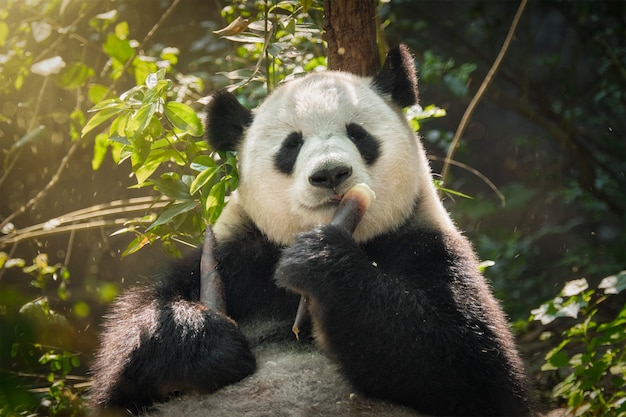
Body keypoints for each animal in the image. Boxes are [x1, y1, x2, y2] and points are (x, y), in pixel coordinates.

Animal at [91, 44, 532, 414]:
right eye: (291, 145)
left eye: (358, 133)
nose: (331, 173)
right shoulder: (236, 253)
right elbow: (129, 345)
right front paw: (208, 341)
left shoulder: (425, 244)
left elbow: (473, 367)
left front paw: (320, 260)